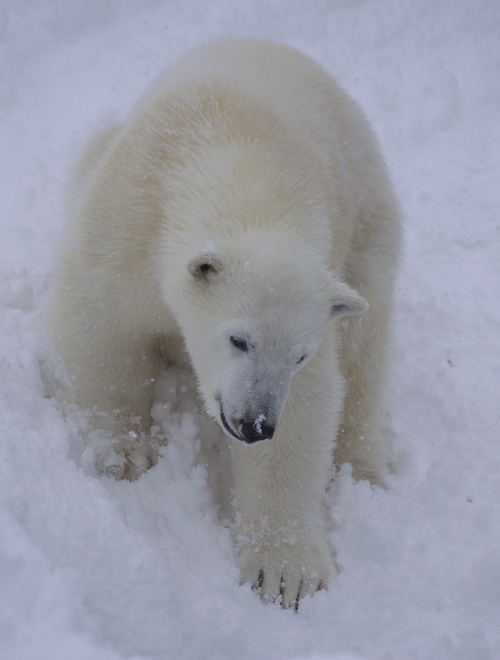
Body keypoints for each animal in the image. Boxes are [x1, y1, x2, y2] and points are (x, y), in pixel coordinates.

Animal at [45, 38, 400, 604]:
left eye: (298, 355)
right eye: (238, 340)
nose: (254, 424)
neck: (236, 156)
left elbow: (309, 406)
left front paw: (286, 573)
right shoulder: (129, 213)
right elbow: (101, 320)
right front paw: (123, 453)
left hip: (368, 234)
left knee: (365, 348)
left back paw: (363, 471)